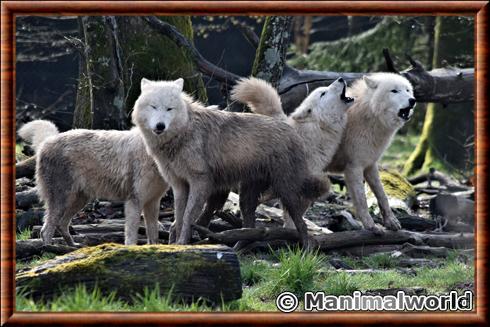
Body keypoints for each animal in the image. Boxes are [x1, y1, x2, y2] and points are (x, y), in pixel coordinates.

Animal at [17, 120, 169, 246]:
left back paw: (72, 246)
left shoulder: (153, 201)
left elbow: (154, 235)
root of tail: (47, 141)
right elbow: (131, 237)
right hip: (62, 201)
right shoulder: (134, 200)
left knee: (61, 224)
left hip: (80, 200)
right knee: (46, 230)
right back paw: (50, 249)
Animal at [328, 73, 416, 234]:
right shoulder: (354, 167)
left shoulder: (370, 165)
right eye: (394, 91)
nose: (412, 100)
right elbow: (362, 200)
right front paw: (371, 226)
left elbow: (382, 195)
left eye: (407, 90)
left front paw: (391, 221)